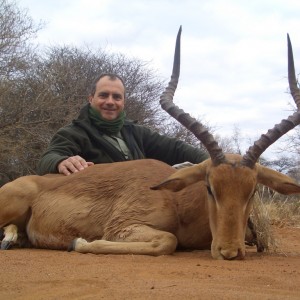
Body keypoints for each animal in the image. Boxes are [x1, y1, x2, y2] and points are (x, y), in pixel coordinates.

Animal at [0, 27, 300, 258]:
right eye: (210, 187)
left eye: (252, 190)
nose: (229, 251)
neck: (177, 201)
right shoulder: (122, 227)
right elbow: (167, 240)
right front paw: (78, 242)